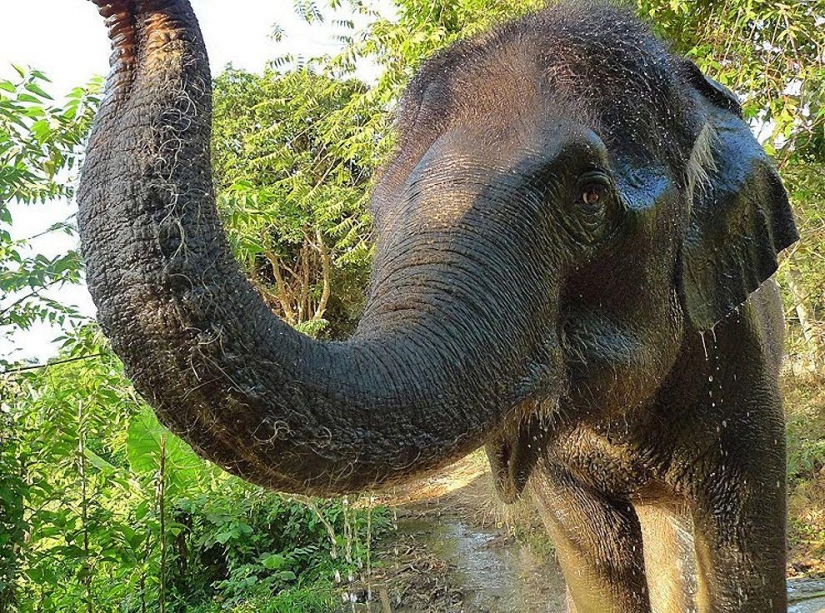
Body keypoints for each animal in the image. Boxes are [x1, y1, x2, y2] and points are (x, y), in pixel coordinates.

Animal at [77, 0, 798, 611]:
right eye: (380, 208)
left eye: (590, 196)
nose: (124, 15)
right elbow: (592, 555)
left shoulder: (742, 370)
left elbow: (740, 549)